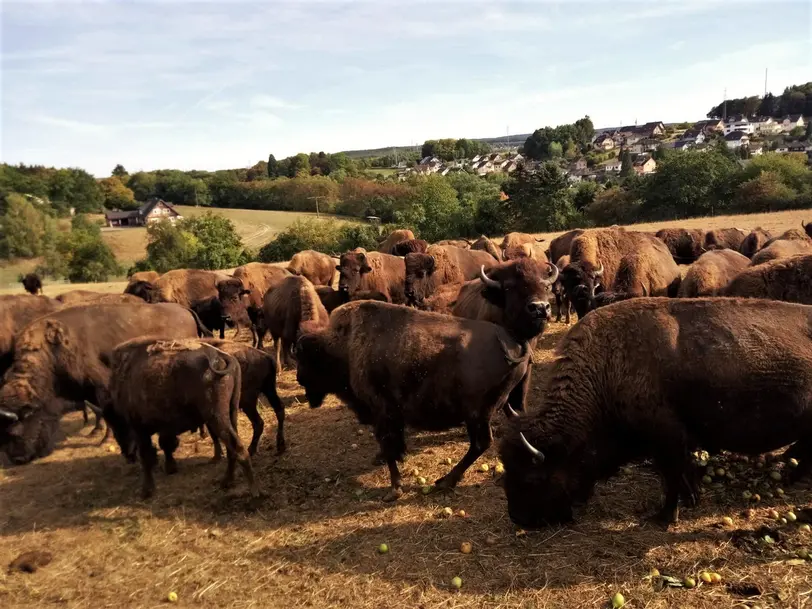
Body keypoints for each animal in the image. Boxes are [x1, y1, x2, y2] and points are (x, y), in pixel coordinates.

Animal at [0, 302, 209, 464]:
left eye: (14, 431)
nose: (18, 459)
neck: (51, 355)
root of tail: (184, 309)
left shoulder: (101, 387)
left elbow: (106, 414)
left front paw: (107, 441)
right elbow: (100, 413)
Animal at [105, 338, 256, 498]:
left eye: (117, 426)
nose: (127, 455)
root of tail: (222, 356)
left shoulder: (140, 429)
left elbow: (147, 456)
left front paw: (147, 490)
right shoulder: (163, 428)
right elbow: (165, 445)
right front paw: (170, 468)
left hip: (217, 417)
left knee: (237, 448)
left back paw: (254, 490)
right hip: (231, 411)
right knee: (232, 448)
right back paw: (227, 481)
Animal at [294, 294, 544, 498]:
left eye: (305, 360)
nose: (299, 379)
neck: (343, 343)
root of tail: (516, 342)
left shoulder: (382, 414)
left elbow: (389, 446)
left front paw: (394, 489)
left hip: (477, 414)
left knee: (481, 443)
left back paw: (444, 482)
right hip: (494, 409)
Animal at [498, 296, 812, 524]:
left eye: (533, 478)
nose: (518, 518)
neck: (606, 369)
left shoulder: (666, 439)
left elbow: (671, 477)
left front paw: (664, 517)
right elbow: (683, 473)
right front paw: (692, 498)